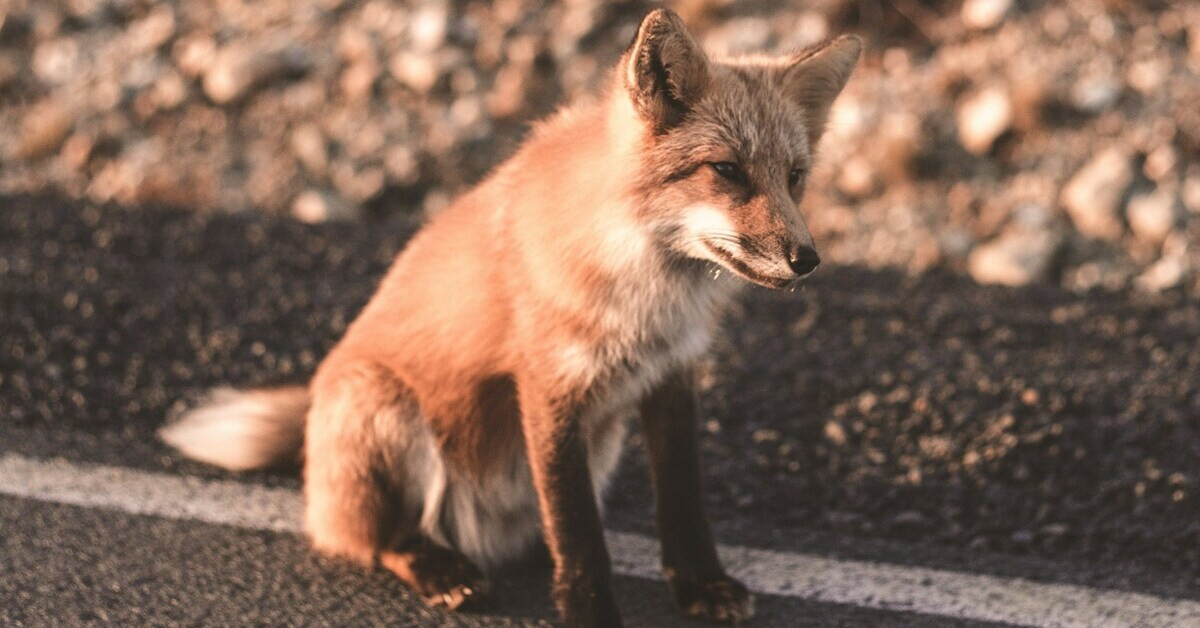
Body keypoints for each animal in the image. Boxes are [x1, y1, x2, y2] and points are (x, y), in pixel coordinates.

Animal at [160, 9, 860, 627]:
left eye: (795, 178)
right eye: (727, 171)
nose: (808, 260)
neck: (645, 293)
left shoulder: (671, 377)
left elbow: (681, 503)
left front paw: (699, 586)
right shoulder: (551, 387)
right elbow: (578, 532)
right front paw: (591, 613)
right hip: (383, 405)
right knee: (380, 538)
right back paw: (441, 569)